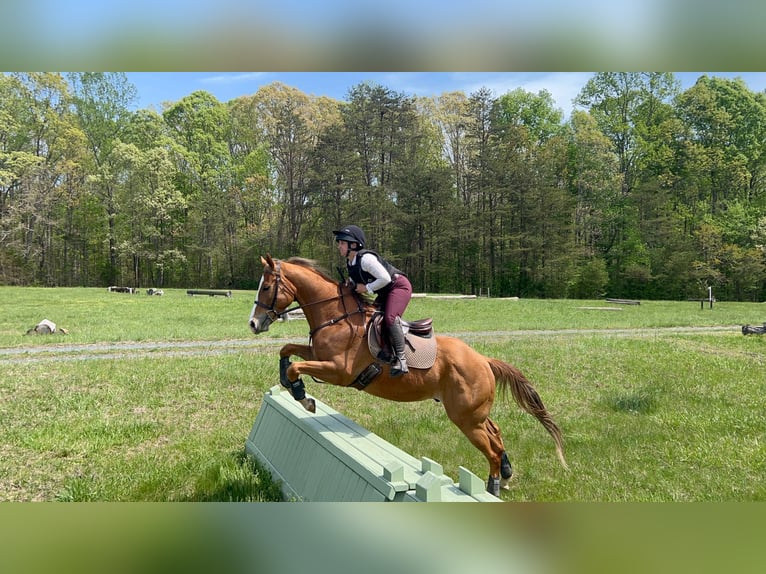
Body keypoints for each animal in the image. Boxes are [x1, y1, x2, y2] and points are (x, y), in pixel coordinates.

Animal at [248, 254, 568, 496]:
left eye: (266, 287)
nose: (253, 324)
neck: (336, 317)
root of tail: (484, 360)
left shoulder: (339, 371)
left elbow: (295, 366)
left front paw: (303, 397)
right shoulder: (318, 355)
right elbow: (286, 351)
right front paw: (290, 385)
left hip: (465, 418)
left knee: (490, 448)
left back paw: (493, 487)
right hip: (473, 413)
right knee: (496, 433)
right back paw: (506, 472)